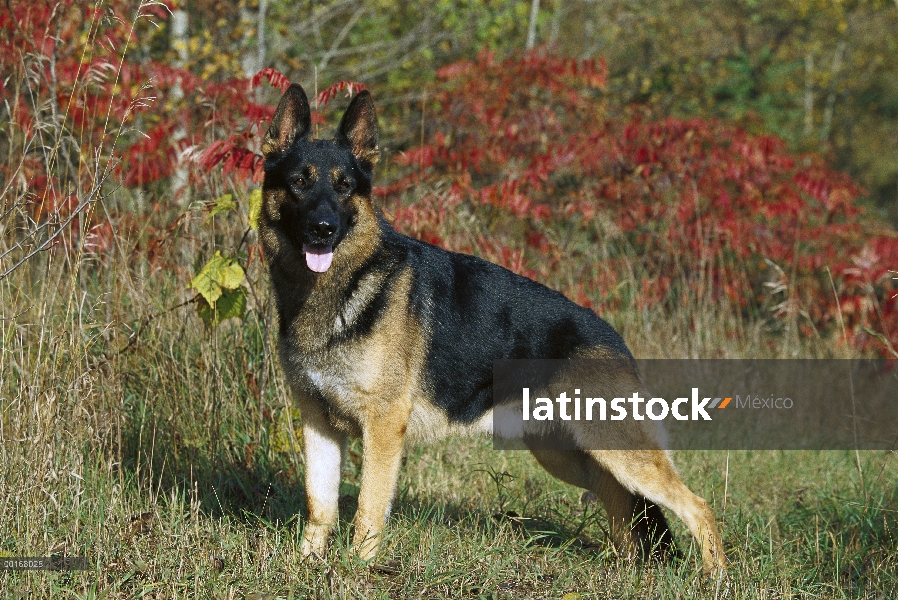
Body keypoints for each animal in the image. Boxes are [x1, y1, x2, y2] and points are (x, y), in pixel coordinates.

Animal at [256, 82, 724, 576]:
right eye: (300, 181)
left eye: (344, 186)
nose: (323, 229)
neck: (342, 288)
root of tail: (614, 339)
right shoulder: (318, 424)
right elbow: (320, 504)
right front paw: (306, 564)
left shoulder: (382, 428)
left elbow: (367, 508)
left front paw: (360, 570)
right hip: (575, 458)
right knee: (624, 508)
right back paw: (628, 573)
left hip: (616, 452)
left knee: (697, 506)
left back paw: (716, 580)